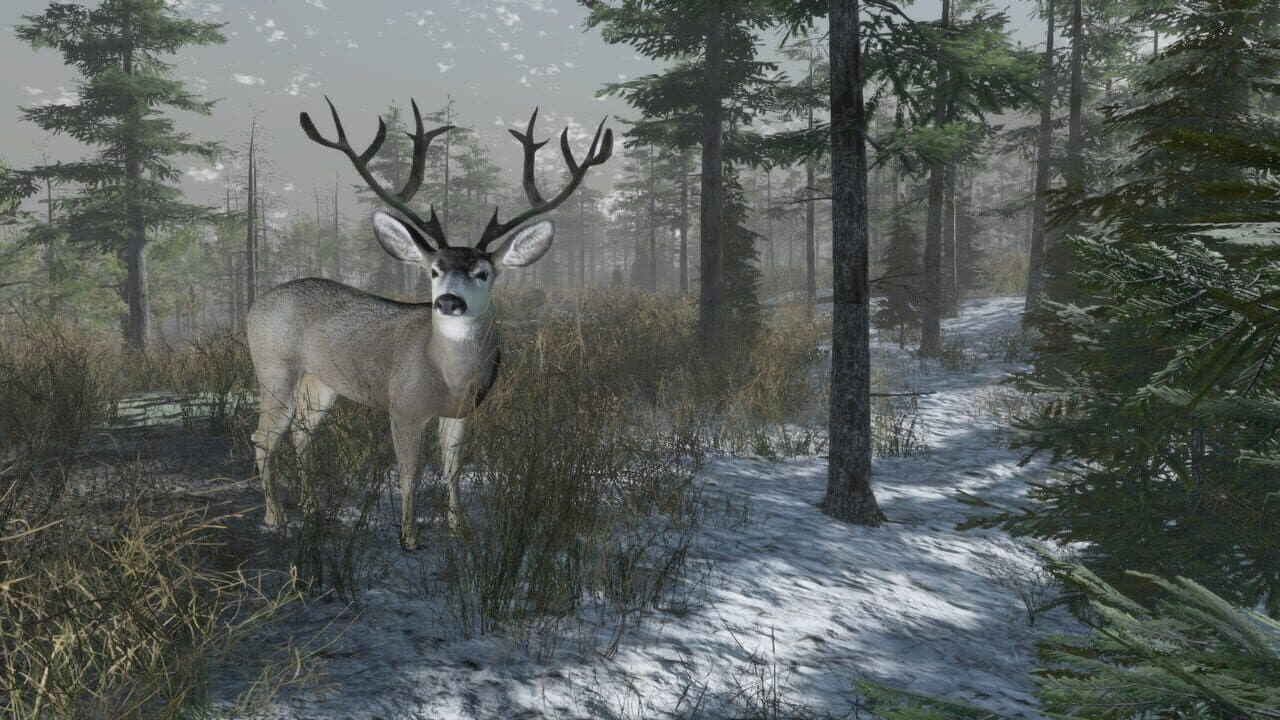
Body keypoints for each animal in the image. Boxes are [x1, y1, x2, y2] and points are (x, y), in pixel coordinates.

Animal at [246, 97, 612, 550]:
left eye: (483, 273)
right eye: (434, 270)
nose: (449, 301)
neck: (447, 374)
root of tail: (255, 305)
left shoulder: (462, 411)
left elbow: (452, 468)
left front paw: (460, 528)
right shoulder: (404, 405)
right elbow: (410, 473)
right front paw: (409, 537)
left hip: (322, 381)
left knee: (301, 432)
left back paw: (312, 508)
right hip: (274, 368)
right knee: (263, 436)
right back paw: (276, 516)